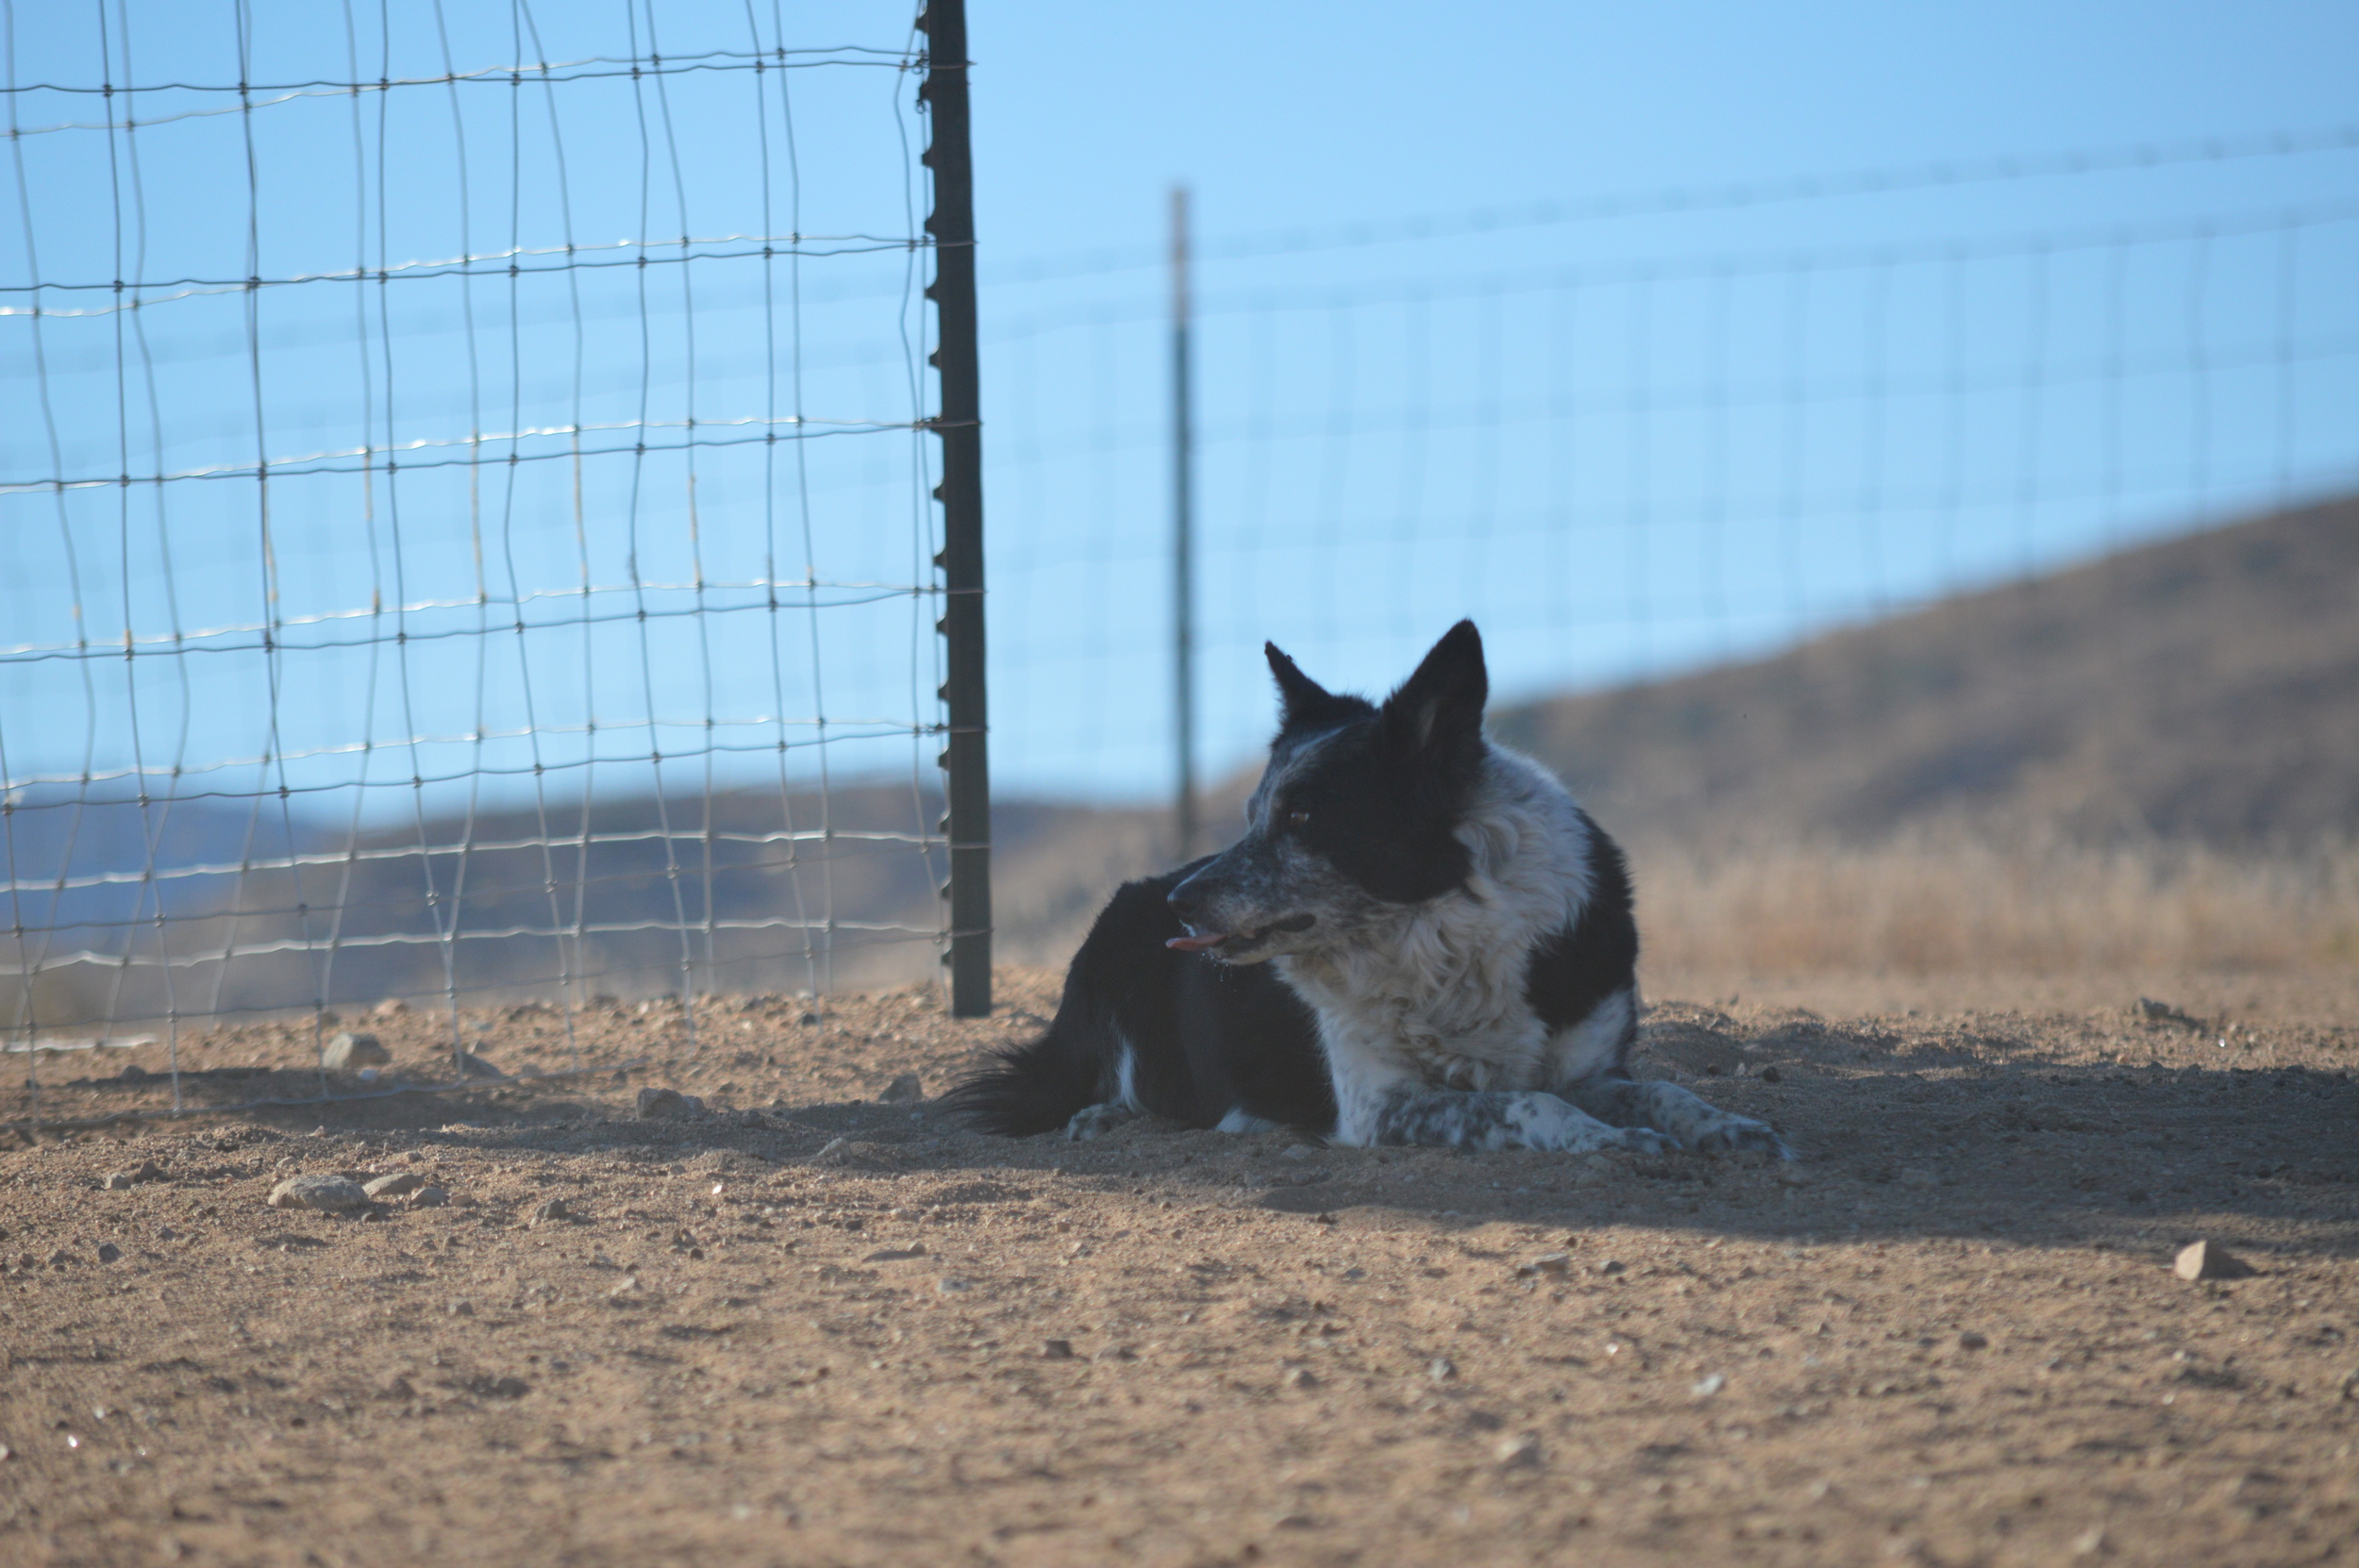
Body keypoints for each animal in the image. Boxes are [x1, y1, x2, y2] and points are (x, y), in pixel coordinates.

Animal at [948, 617, 1774, 1155]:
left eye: (1302, 816)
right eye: (1253, 815)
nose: (1182, 905)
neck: (1442, 931)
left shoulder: (1595, 1067)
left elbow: (1666, 1091)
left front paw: (1732, 1129)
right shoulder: (1382, 1105)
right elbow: (1530, 1104)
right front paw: (1614, 1141)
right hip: (1117, 969)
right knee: (1113, 1084)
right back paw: (1113, 1119)